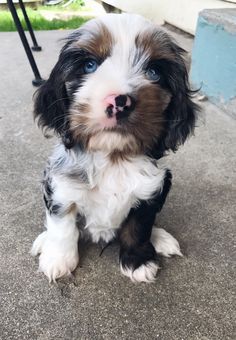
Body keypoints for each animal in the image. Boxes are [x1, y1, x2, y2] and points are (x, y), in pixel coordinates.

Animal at [30, 13, 197, 282]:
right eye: (89, 66)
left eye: (153, 72)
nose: (120, 102)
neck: (113, 158)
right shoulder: (61, 187)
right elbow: (62, 226)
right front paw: (58, 259)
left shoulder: (151, 190)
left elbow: (139, 227)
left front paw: (139, 262)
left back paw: (161, 238)